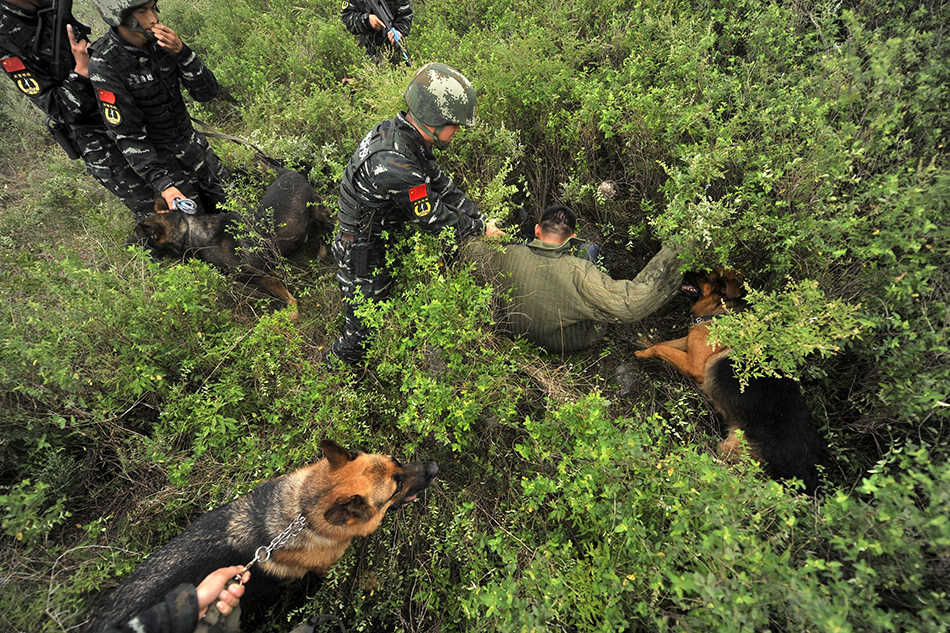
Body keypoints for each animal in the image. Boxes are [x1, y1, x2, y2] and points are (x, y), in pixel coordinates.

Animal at [133, 167, 332, 315]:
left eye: (139, 241)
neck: (193, 233)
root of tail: (288, 171)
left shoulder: (265, 276)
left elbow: (290, 300)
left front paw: (291, 318)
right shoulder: (256, 281)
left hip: (320, 213)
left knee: (330, 229)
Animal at [635, 269, 824, 493]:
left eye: (705, 275)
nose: (683, 271)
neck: (719, 311)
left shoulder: (693, 364)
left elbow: (662, 348)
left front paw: (642, 353)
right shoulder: (690, 341)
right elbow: (665, 342)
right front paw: (644, 341)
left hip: (730, 449)